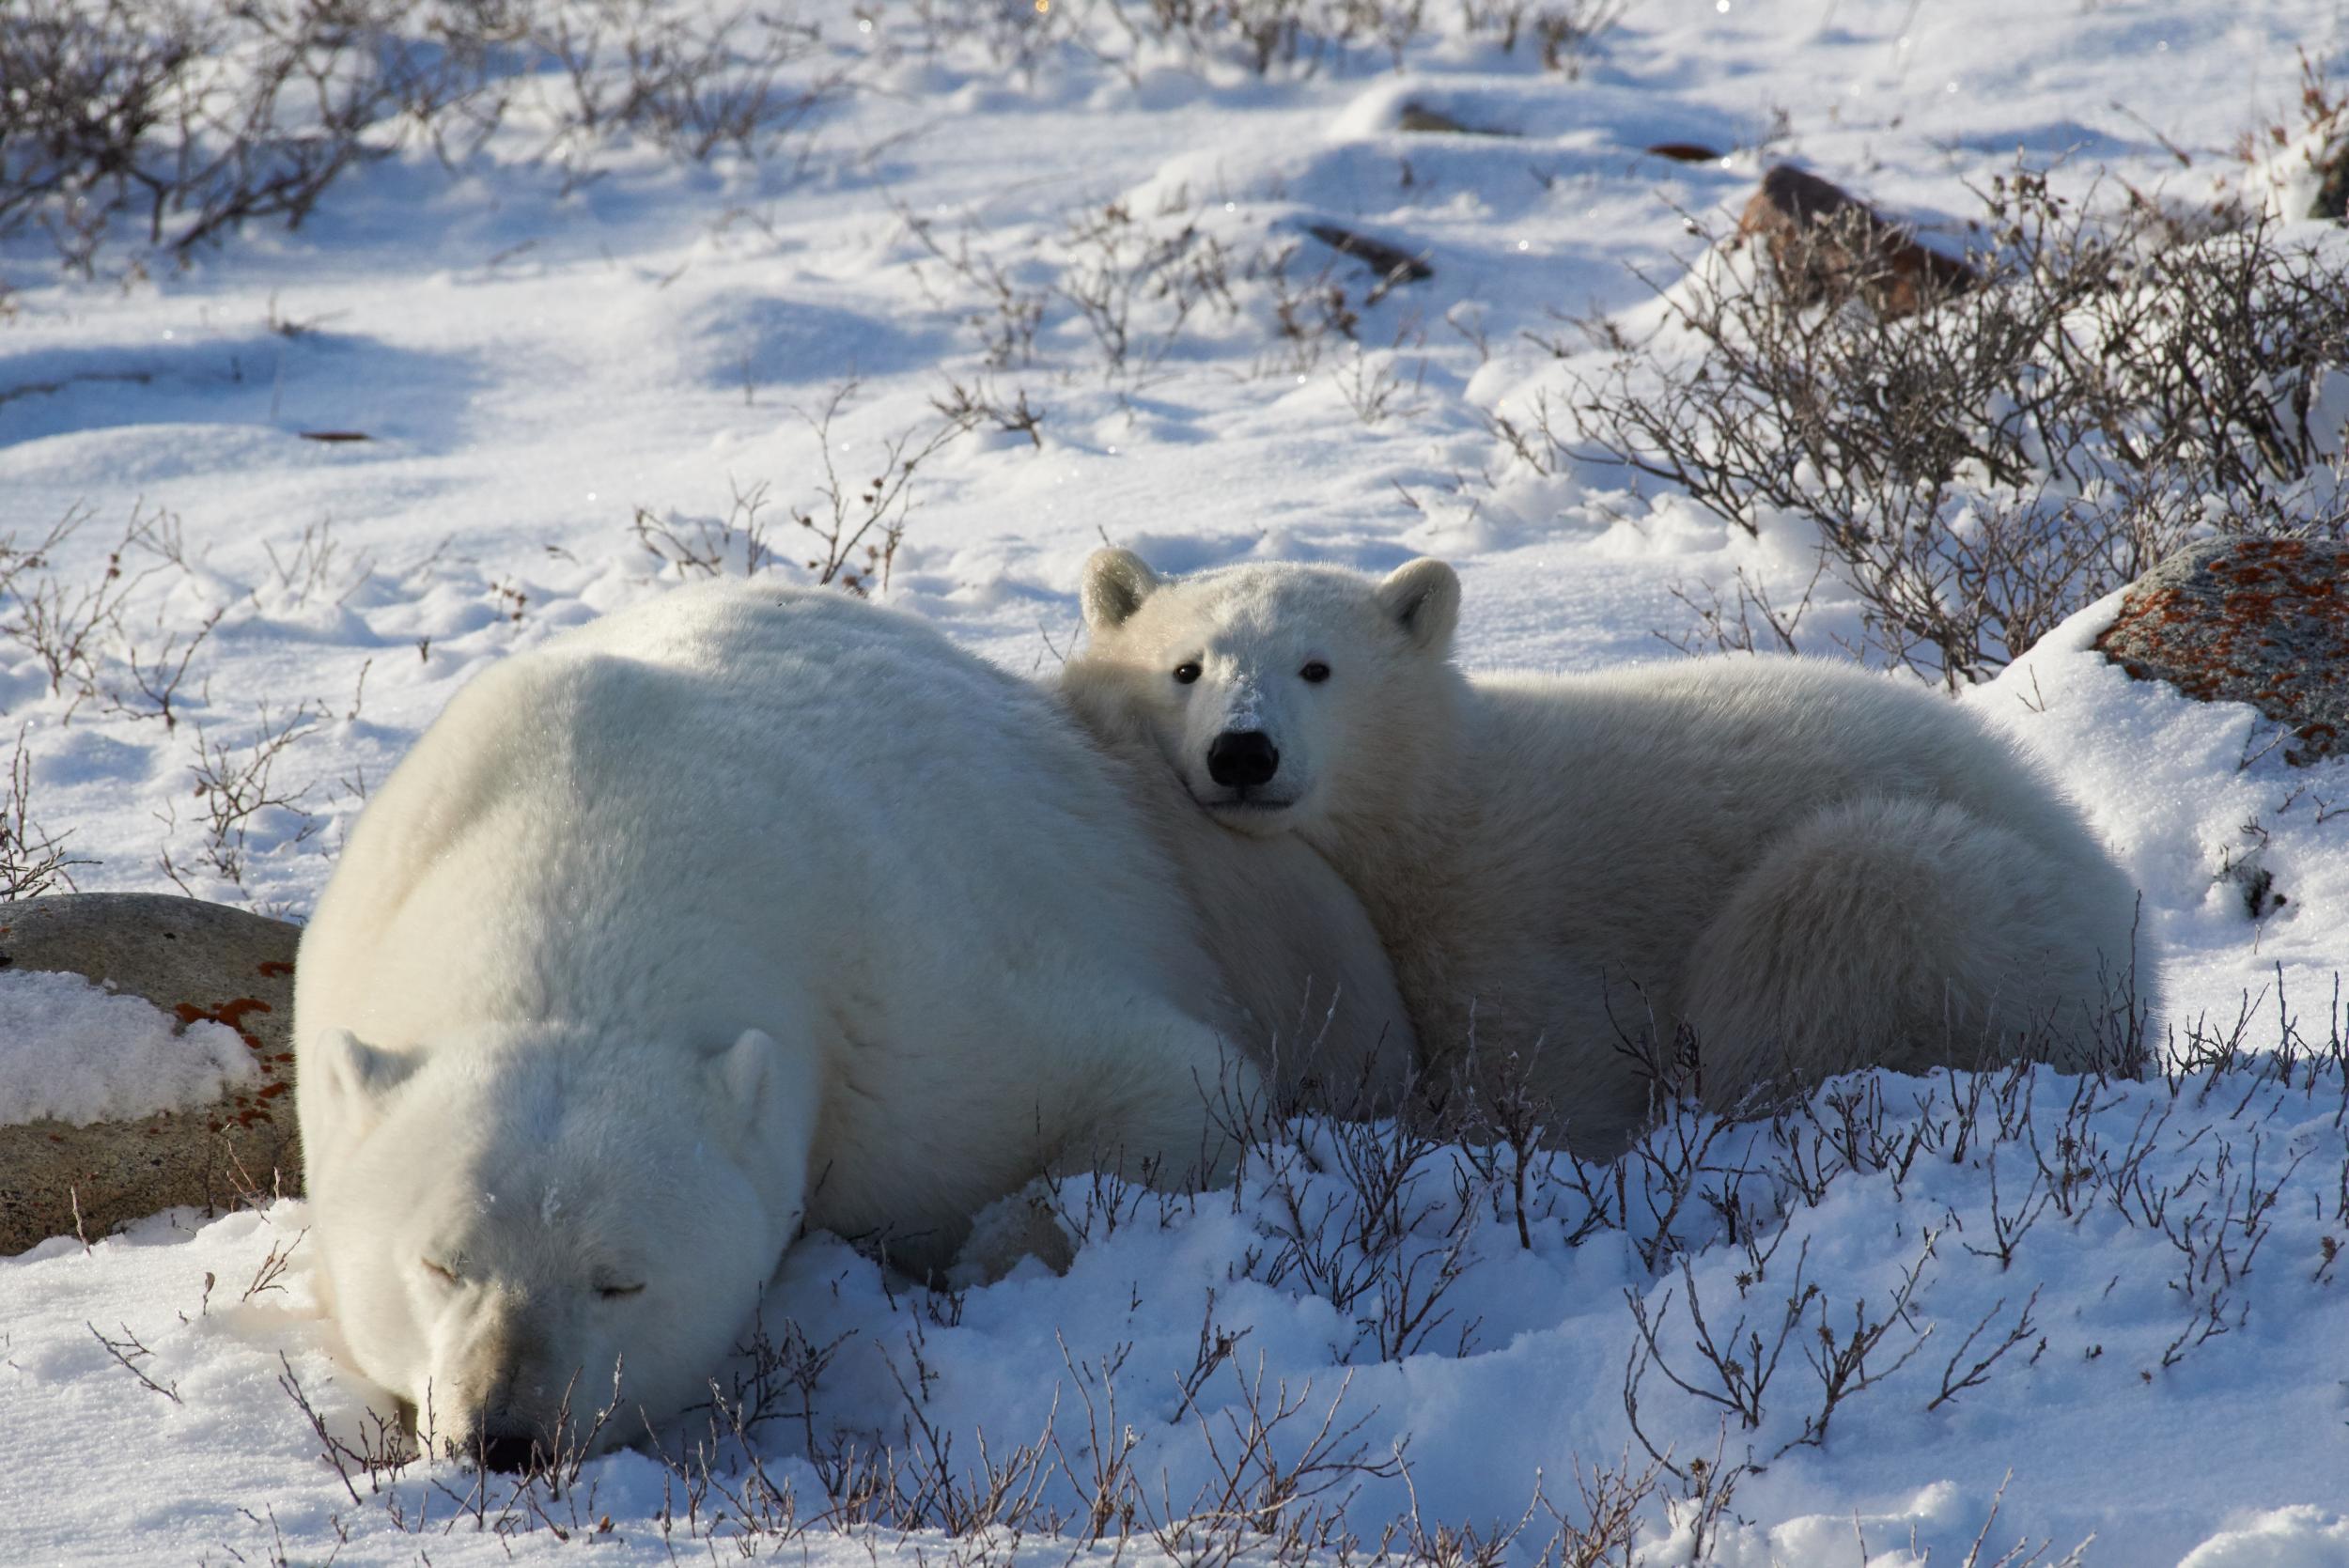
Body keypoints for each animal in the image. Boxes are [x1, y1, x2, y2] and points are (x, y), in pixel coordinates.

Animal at [284, 580, 1400, 1474]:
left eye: (619, 1280)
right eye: (440, 1263)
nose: (507, 1435)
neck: (586, 851)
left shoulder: (904, 1007)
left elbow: (1178, 1082)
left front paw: (994, 1246)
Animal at [1076, 551, 2152, 1150]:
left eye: (1317, 667)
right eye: (1185, 667)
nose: (1243, 751)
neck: (1423, 810)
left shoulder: (1504, 914)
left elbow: (1545, 1074)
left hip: (1973, 904)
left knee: (1828, 917)